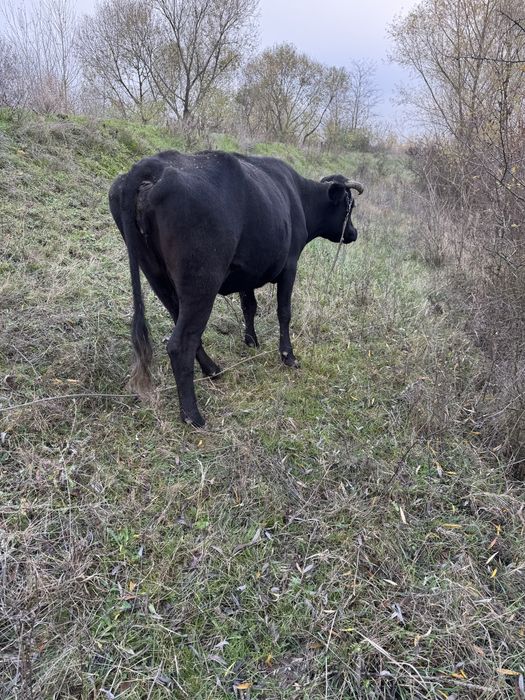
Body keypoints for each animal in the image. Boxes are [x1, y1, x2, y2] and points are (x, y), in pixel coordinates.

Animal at [109, 150, 364, 427]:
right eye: (349, 207)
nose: (353, 233)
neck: (298, 196)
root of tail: (151, 165)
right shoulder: (290, 265)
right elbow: (284, 312)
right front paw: (288, 355)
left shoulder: (248, 272)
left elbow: (248, 306)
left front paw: (251, 340)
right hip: (201, 283)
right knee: (180, 343)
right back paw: (192, 415)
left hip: (157, 277)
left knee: (183, 326)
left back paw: (212, 369)